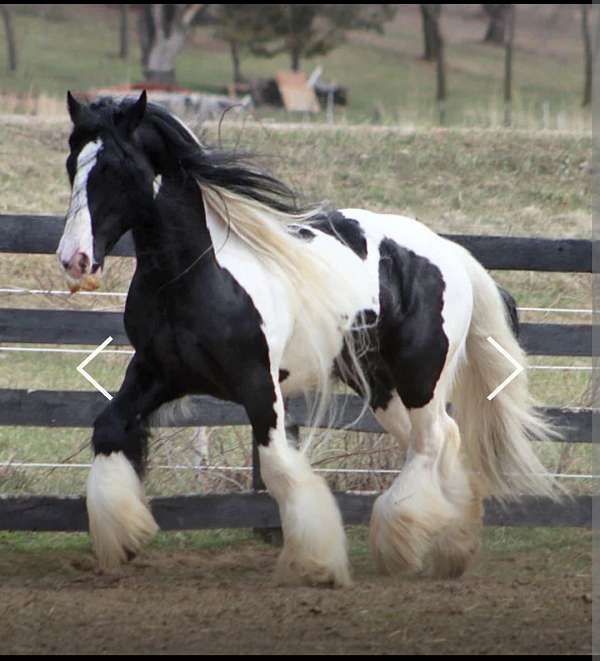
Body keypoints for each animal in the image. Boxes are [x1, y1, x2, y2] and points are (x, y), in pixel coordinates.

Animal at [56, 91, 556, 588]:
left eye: (116, 168)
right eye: (72, 163)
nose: (74, 259)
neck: (195, 276)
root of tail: (450, 252)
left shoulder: (259, 385)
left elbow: (278, 466)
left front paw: (315, 563)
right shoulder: (157, 373)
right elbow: (109, 428)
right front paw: (123, 539)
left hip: (420, 376)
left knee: (432, 440)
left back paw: (402, 541)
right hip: (379, 384)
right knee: (440, 440)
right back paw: (452, 544)